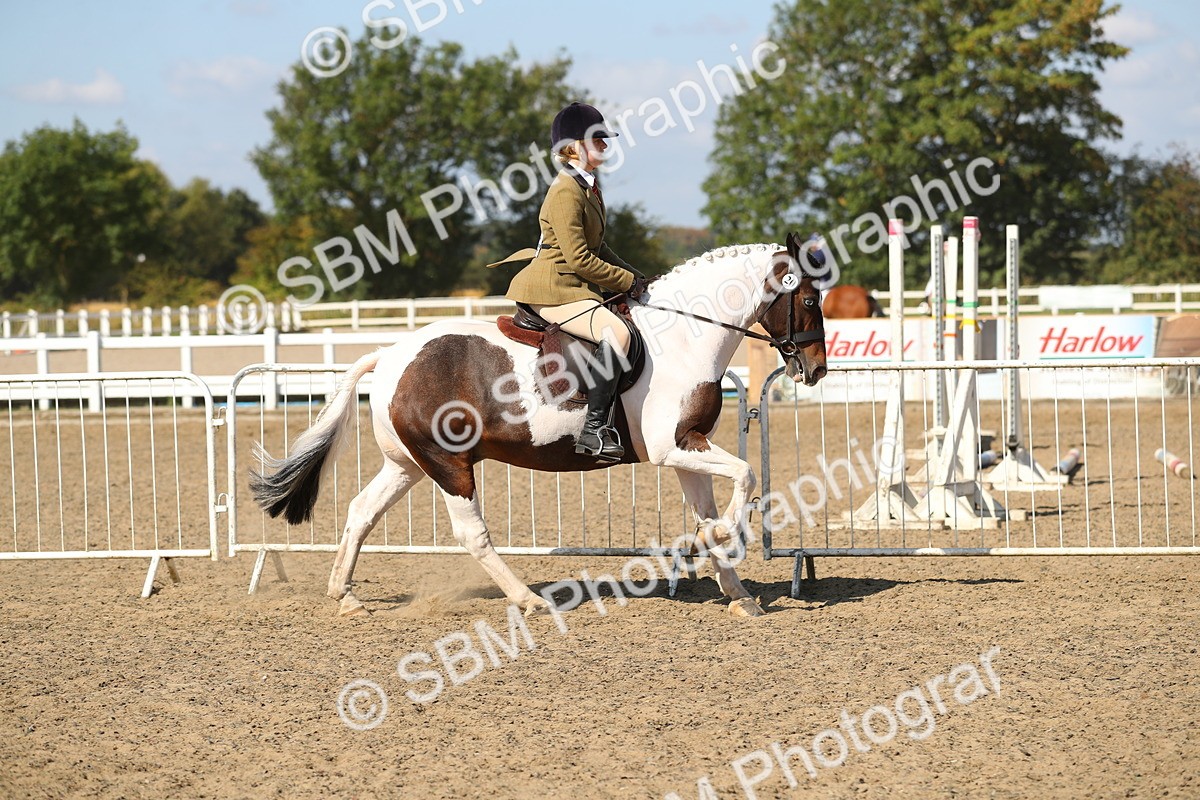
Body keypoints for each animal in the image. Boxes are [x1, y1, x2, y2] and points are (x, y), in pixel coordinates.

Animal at [249, 232, 827, 619]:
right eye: (808, 298)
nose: (817, 369)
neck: (686, 336)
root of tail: (389, 355)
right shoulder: (673, 448)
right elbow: (746, 475)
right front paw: (731, 538)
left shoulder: (689, 447)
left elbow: (710, 511)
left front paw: (738, 592)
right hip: (449, 465)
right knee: (471, 534)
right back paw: (527, 598)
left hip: (408, 465)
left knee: (361, 512)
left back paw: (345, 595)